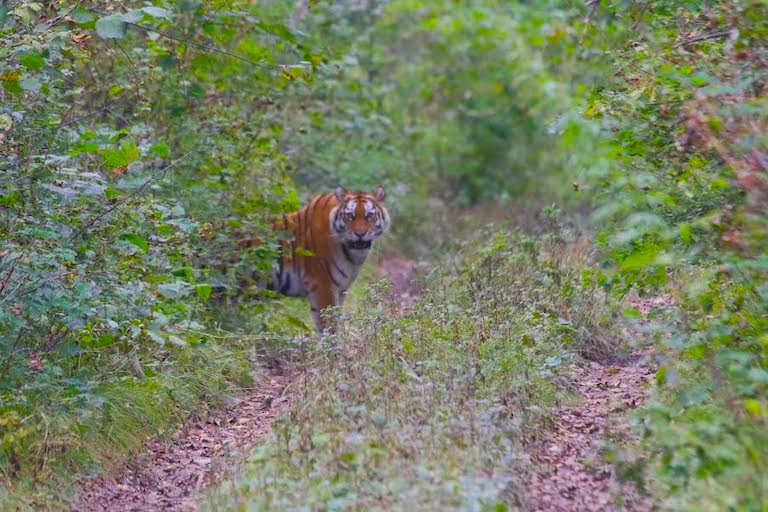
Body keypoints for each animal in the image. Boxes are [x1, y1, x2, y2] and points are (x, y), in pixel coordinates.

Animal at [268, 186, 390, 334]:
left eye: (370, 215)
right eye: (350, 216)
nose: (360, 234)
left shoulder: (341, 290)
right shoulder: (322, 284)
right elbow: (329, 325)